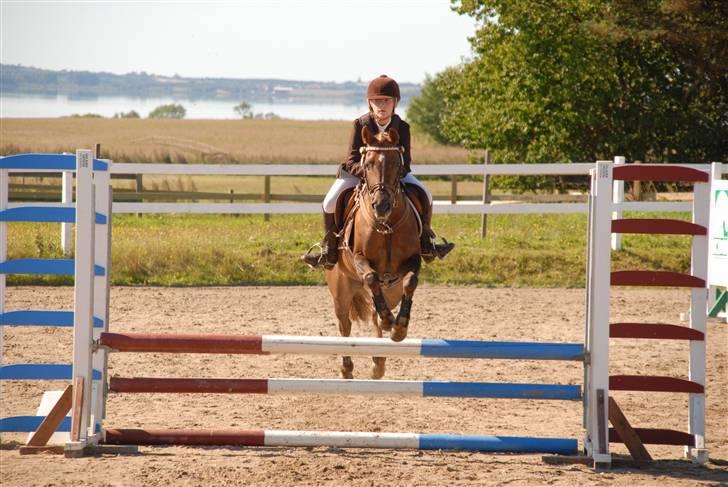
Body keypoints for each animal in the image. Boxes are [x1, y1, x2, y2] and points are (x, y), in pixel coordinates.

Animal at [328, 126, 424, 382]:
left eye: (397, 164)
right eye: (368, 164)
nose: (381, 205)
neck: (386, 225)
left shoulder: (412, 260)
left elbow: (411, 281)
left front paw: (399, 327)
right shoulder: (360, 259)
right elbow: (371, 276)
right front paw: (391, 321)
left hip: (391, 291)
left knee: (375, 314)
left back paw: (378, 361)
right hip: (341, 290)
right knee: (344, 324)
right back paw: (347, 368)